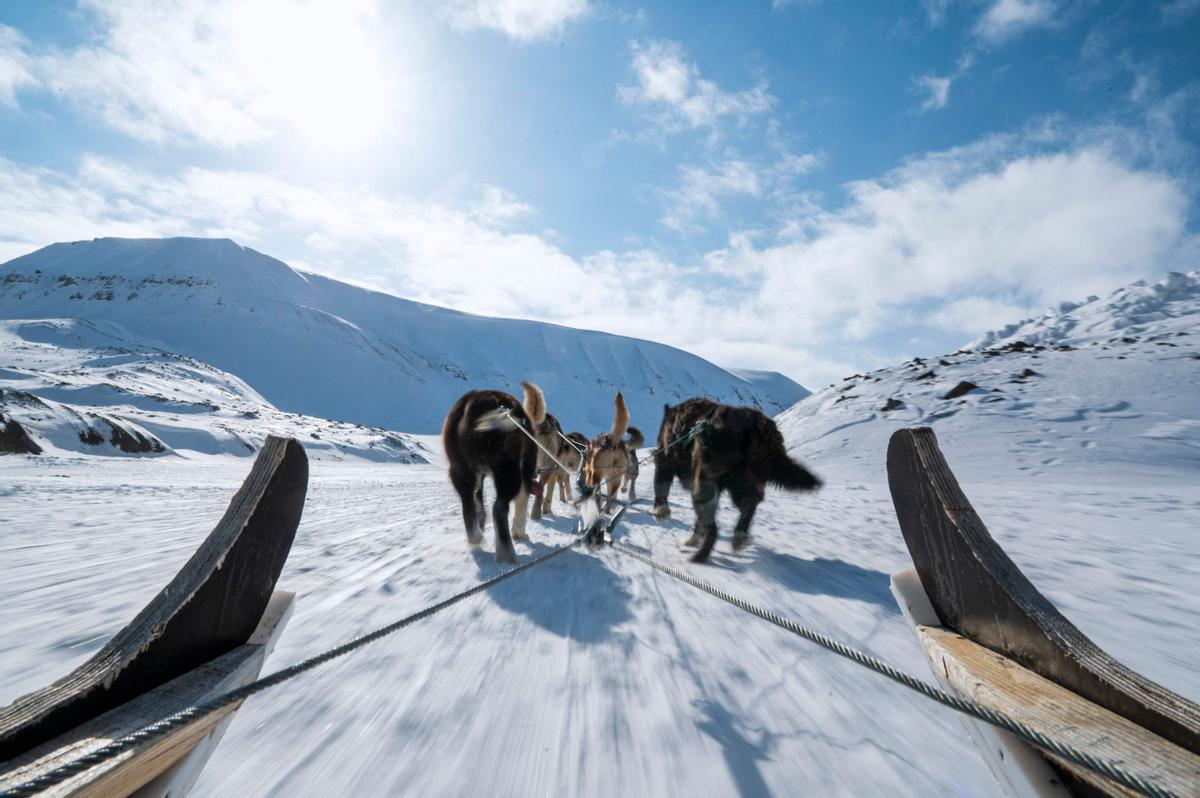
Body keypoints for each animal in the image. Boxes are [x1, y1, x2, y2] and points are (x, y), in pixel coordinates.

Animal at [444, 384, 547, 564]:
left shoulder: (478, 476)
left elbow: (478, 501)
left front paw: (481, 521)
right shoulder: (526, 472)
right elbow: (521, 505)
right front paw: (520, 534)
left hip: (460, 469)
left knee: (467, 504)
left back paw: (475, 538)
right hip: (509, 472)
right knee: (498, 509)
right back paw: (507, 554)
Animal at [652, 396, 820, 559]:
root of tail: (755, 422)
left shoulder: (664, 461)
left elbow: (661, 489)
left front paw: (661, 512)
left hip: (704, 484)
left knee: (713, 526)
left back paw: (700, 555)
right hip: (742, 483)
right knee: (749, 504)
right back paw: (738, 536)